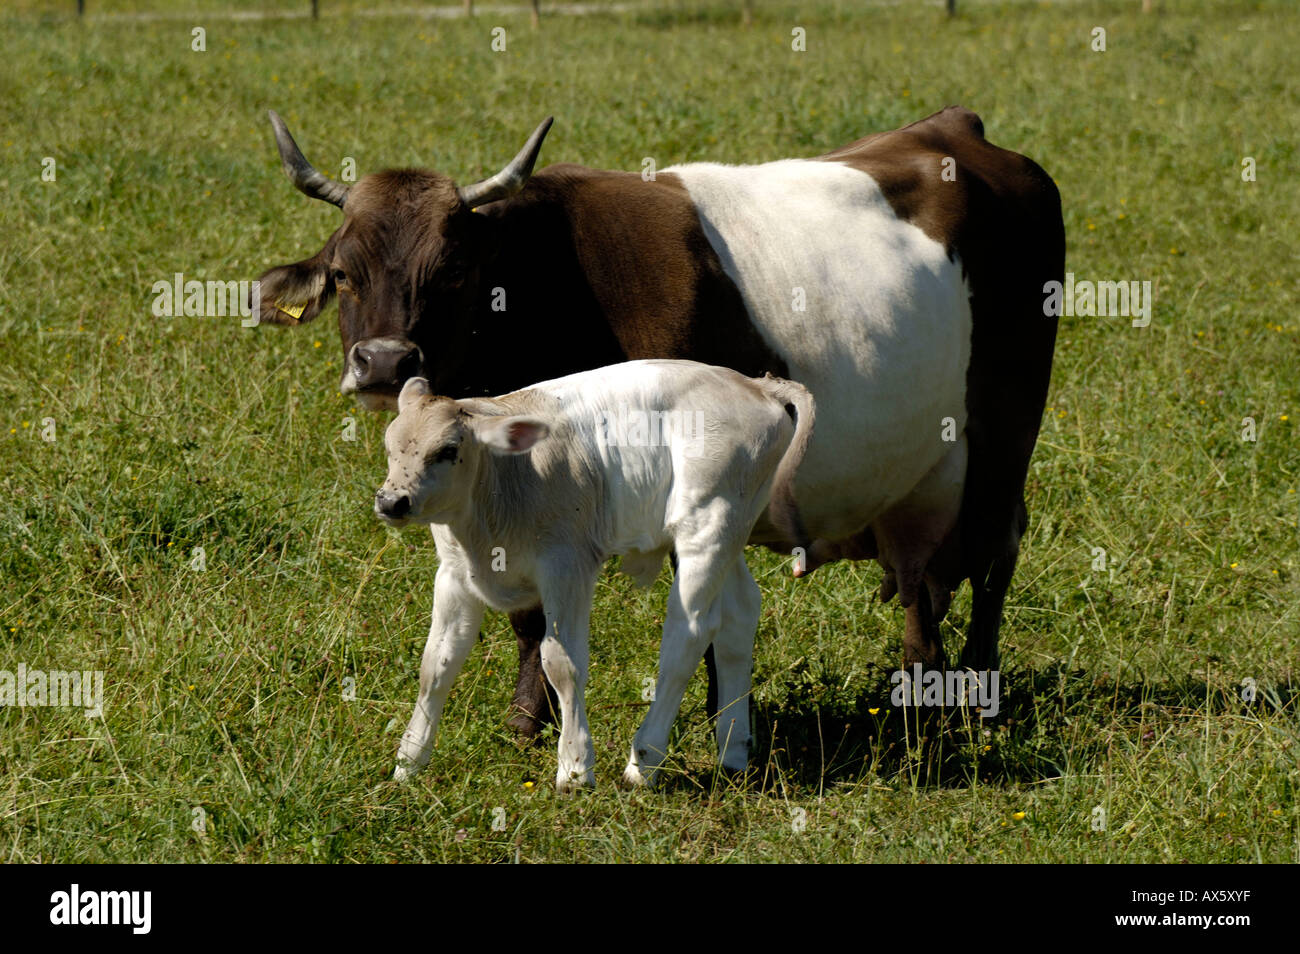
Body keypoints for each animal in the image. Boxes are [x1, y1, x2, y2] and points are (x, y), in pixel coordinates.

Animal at [256, 104, 1066, 738]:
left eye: (452, 271)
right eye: (343, 272)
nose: (384, 362)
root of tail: (957, 128)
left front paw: (711, 717)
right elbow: (533, 618)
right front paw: (529, 717)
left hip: (1005, 433)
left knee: (995, 552)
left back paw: (979, 695)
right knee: (926, 578)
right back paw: (922, 685)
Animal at [377, 361, 816, 790]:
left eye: (448, 450)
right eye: (389, 446)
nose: (391, 501)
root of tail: (754, 384)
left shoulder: (567, 566)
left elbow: (560, 662)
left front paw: (574, 768)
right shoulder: (454, 574)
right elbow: (436, 664)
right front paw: (408, 764)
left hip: (707, 525)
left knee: (689, 633)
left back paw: (643, 764)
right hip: (730, 532)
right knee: (740, 615)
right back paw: (733, 751)